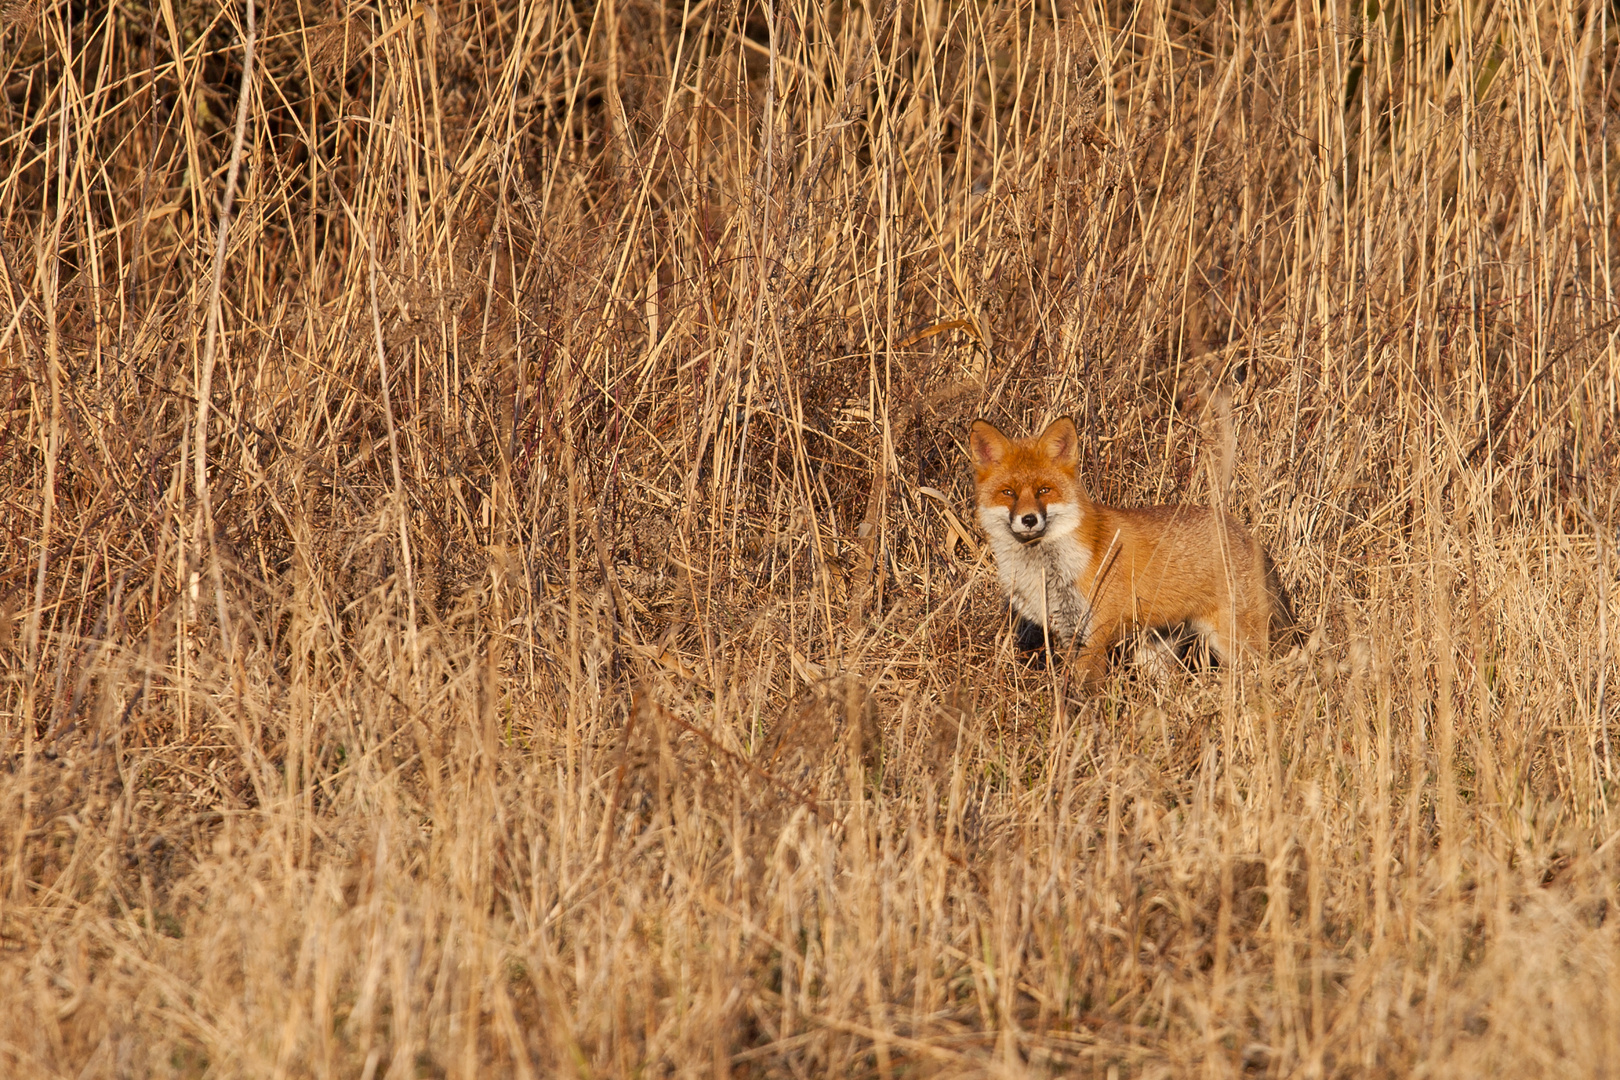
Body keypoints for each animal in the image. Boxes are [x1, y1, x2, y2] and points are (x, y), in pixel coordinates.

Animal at [965, 417, 1296, 689]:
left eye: (1044, 490)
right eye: (1008, 493)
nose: (1029, 519)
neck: (1049, 570)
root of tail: (1243, 531)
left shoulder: (1094, 635)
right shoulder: (1065, 633)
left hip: (1236, 642)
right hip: (1154, 653)